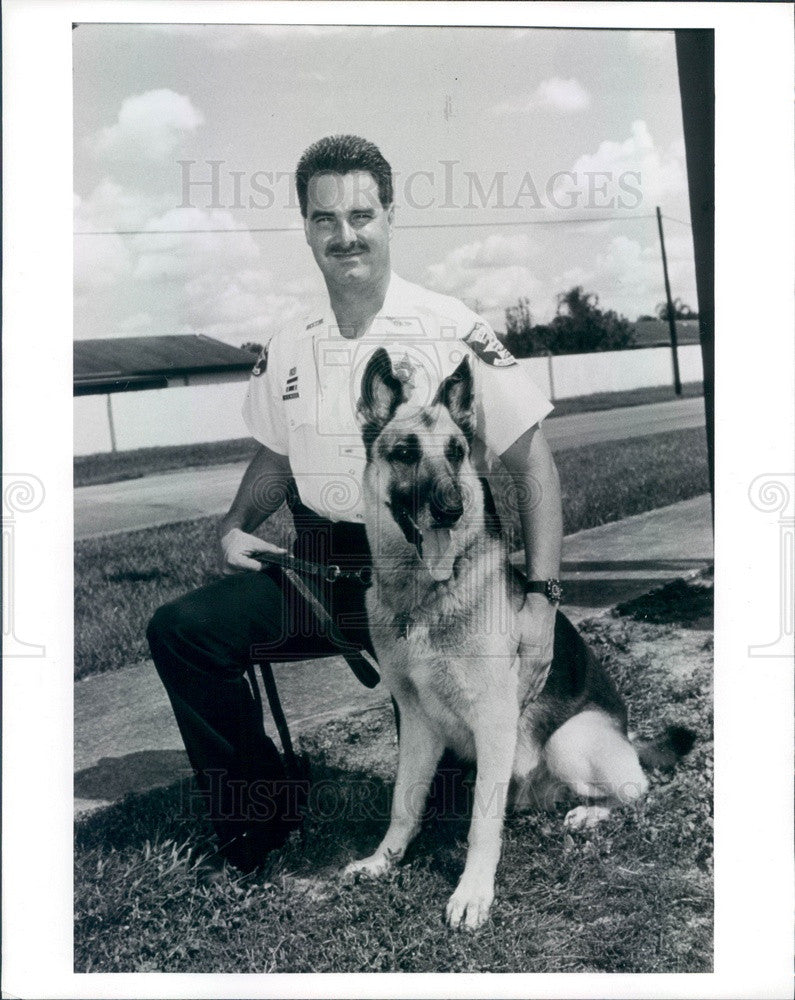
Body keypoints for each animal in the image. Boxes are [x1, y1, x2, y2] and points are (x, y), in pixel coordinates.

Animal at [346, 350, 692, 928]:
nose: (451, 507)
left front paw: (472, 892)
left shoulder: (493, 720)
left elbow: (481, 825)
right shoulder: (416, 722)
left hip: (568, 741)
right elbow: (403, 802)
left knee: (638, 789)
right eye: (404, 453)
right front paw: (383, 860)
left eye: (458, 452)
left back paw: (589, 813)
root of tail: (627, 736)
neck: (426, 595)